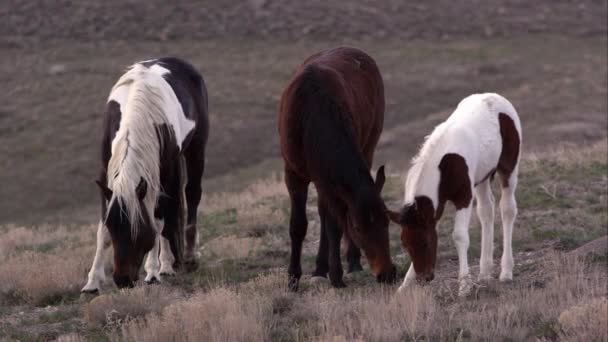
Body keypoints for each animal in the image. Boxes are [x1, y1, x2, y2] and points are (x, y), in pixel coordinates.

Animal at [81, 57, 209, 292]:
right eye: (114, 228)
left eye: (138, 230)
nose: (122, 280)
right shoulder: (105, 175)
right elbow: (101, 231)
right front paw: (92, 282)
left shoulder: (165, 173)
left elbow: (159, 221)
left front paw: (154, 270)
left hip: (196, 149)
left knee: (190, 196)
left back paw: (183, 257)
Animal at [278, 46, 396, 292]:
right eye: (358, 228)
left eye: (387, 220)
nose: (388, 273)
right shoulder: (294, 173)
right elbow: (298, 225)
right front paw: (293, 278)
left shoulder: (326, 178)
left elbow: (334, 224)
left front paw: (337, 274)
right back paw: (320, 268)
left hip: (367, 147)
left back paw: (348, 262)